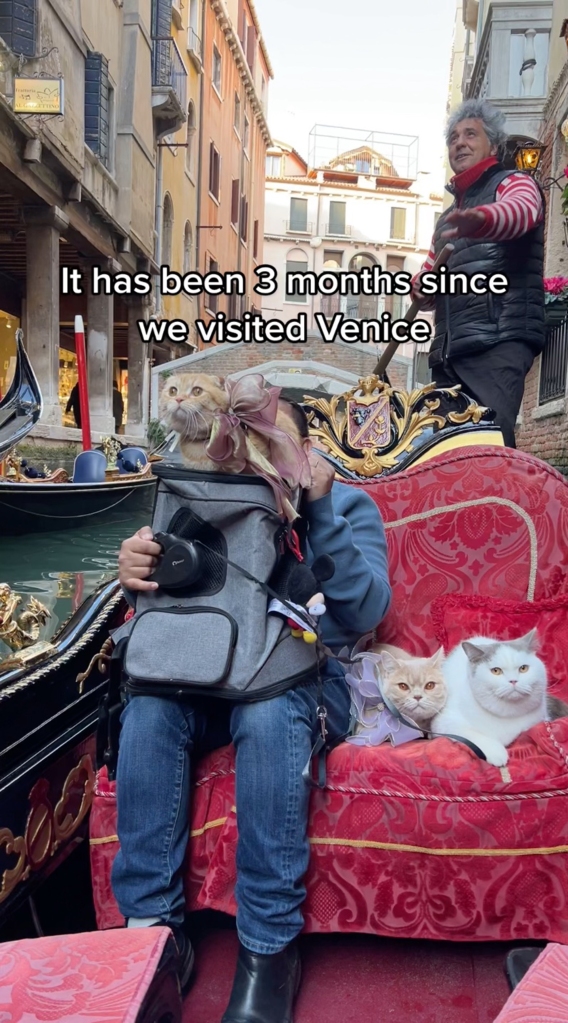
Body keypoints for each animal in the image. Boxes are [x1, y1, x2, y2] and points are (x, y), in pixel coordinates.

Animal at [433, 630, 548, 769]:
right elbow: (474, 735)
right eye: (496, 671)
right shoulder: (445, 723)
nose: (513, 681)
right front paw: (497, 753)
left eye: (523, 668)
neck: (506, 714)